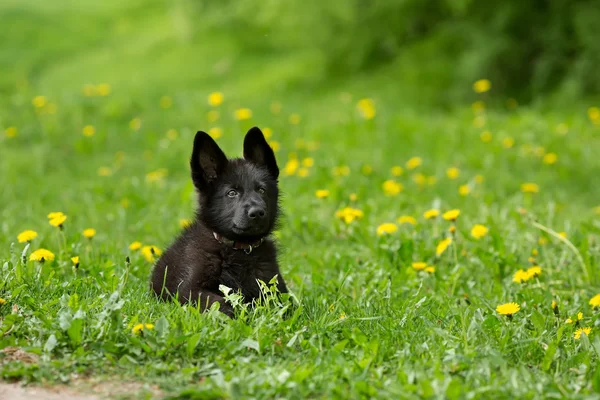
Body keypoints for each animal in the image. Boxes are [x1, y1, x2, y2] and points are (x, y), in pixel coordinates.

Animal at [152, 127, 288, 316]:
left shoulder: (274, 288)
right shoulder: (188, 289)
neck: (240, 250)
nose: (257, 212)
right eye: (232, 193)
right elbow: (220, 302)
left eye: (261, 190)